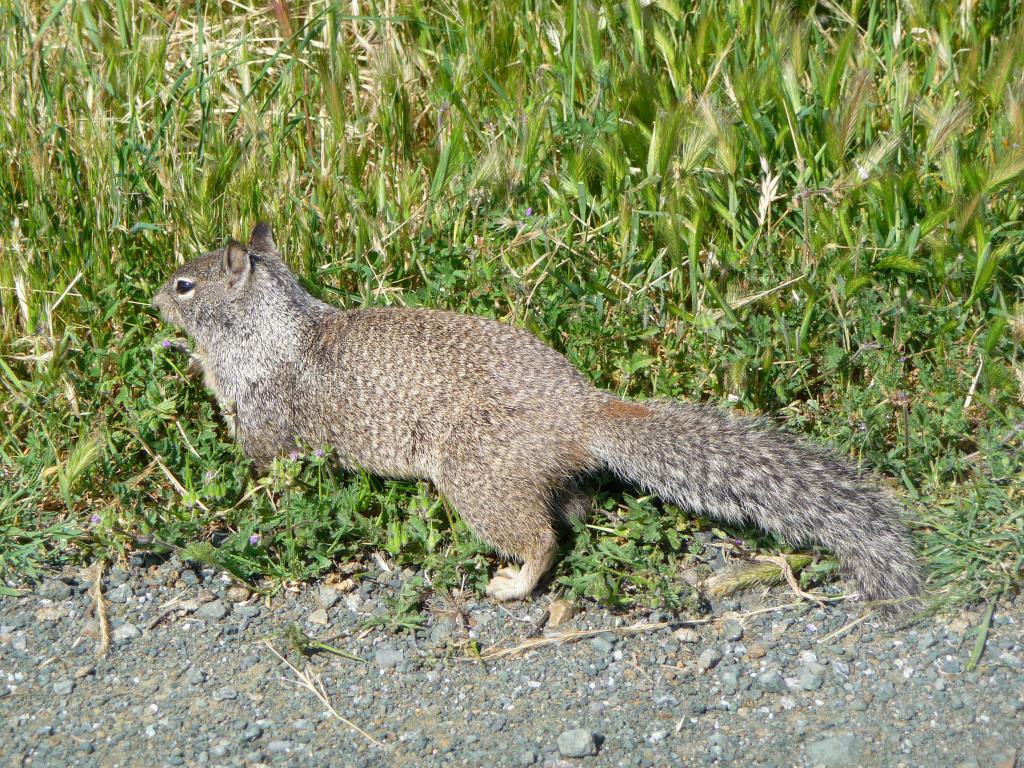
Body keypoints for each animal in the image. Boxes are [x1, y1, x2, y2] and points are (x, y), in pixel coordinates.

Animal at [153, 222, 929, 614]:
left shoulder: (268, 422)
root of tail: (582, 412)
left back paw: (514, 581)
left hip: (477, 478)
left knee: (542, 537)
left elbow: (270, 471)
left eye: (185, 283)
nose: (154, 300)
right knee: (574, 509)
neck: (271, 329)